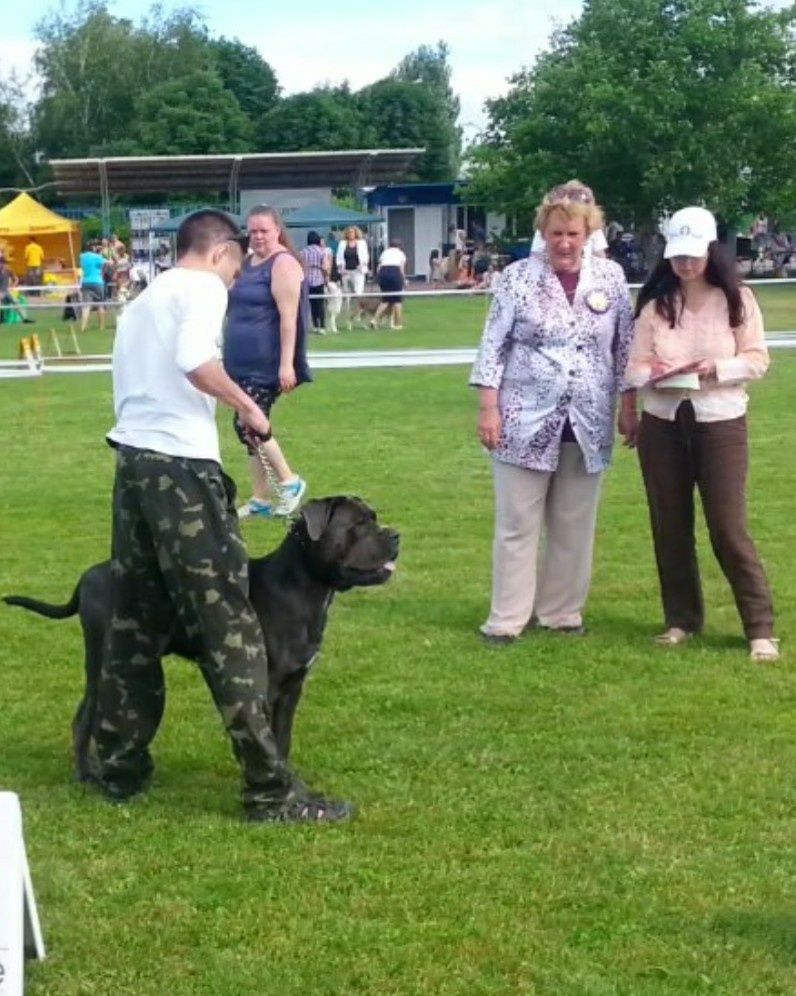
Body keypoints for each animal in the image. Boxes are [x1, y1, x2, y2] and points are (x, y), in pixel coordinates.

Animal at [1, 494, 396, 784]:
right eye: (359, 524)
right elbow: (267, 737)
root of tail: (86, 579)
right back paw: (86, 775)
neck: (304, 585)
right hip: (103, 659)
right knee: (84, 717)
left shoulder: (292, 686)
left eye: (374, 518)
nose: (396, 535)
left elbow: (282, 738)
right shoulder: (266, 685)